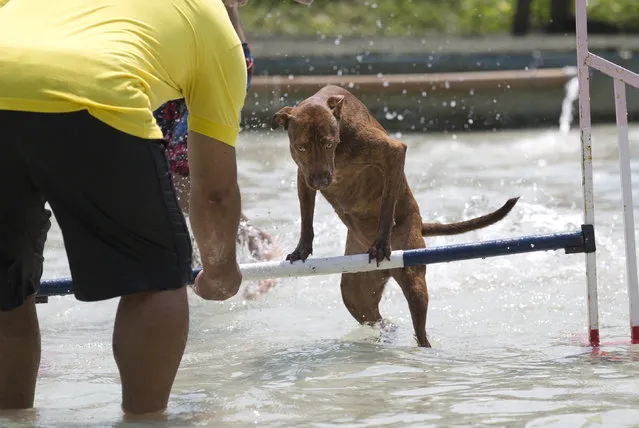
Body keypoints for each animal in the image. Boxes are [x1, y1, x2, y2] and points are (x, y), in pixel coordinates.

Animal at [272, 84, 520, 348]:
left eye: (328, 144)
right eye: (302, 147)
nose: (320, 181)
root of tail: (420, 224)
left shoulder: (392, 153)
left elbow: (387, 204)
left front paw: (381, 242)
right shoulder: (304, 175)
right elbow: (306, 215)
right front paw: (302, 248)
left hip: (412, 277)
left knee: (420, 329)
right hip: (355, 292)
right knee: (378, 319)